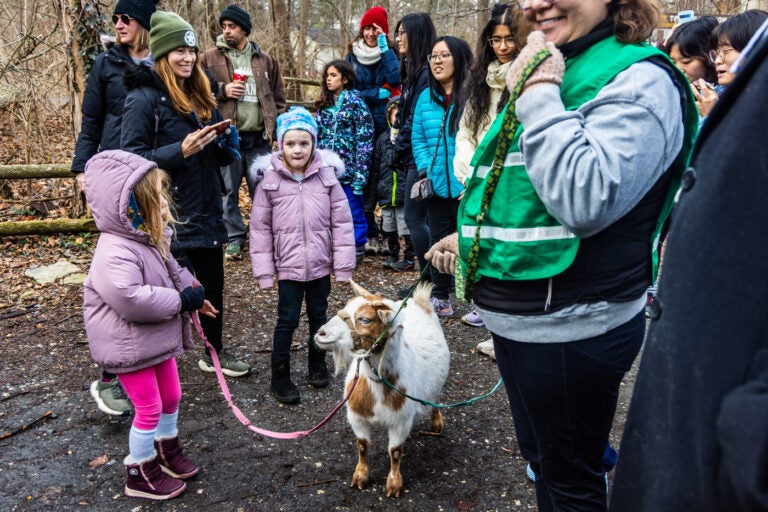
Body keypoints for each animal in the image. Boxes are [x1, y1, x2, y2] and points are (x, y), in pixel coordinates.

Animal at [314, 280, 450, 496]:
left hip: (436, 384)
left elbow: (395, 452)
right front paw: (360, 476)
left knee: (434, 398)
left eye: (365, 319)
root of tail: (420, 301)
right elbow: (362, 445)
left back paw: (437, 422)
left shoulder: (400, 421)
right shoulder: (357, 417)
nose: (321, 333)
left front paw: (394, 484)